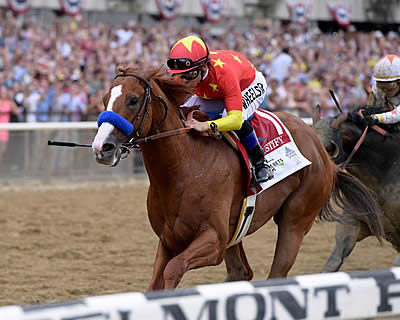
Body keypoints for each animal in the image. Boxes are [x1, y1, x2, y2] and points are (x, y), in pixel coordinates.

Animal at [92, 66, 382, 292]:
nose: (101, 147)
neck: (184, 167)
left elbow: (172, 270)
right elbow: (155, 283)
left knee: (277, 271)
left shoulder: (214, 241)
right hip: (238, 227)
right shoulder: (168, 240)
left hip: (296, 220)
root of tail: (322, 152)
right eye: (105, 98)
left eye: (132, 99)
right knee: (241, 272)